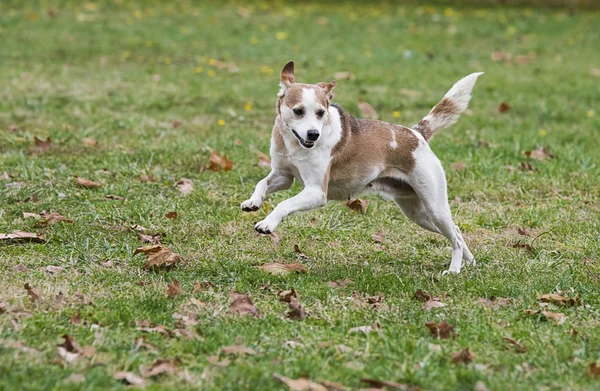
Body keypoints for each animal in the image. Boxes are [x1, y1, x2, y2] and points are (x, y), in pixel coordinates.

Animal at [241, 62, 480, 276]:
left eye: (320, 113)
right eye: (298, 111)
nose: (313, 135)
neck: (293, 144)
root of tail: (416, 134)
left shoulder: (316, 192)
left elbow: (283, 204)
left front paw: (267, 224)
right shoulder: (283, 176)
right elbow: (262, 183)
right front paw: (252, 202)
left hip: (433, 206)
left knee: (455, 237)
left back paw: (454, 270)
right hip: (417, 212)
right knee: (457, 232)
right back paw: (469, 263)